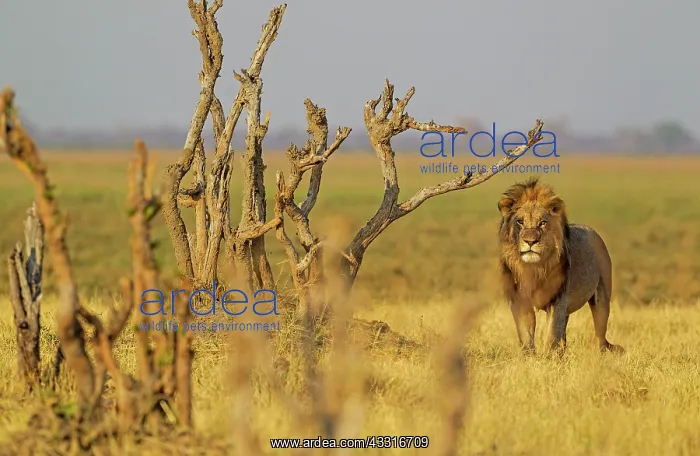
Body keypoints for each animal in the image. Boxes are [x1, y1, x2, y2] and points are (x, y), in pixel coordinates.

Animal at [497, 177, 623, 354]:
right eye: (520, 222)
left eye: (543, 222)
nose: (530, 241)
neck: (534, 268)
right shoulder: (519, 300)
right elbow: (526, 334)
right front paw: (529, 356)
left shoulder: (558, 299)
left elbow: (552, 335)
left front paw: (548, 358)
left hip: (601, 299)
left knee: (600, 336)